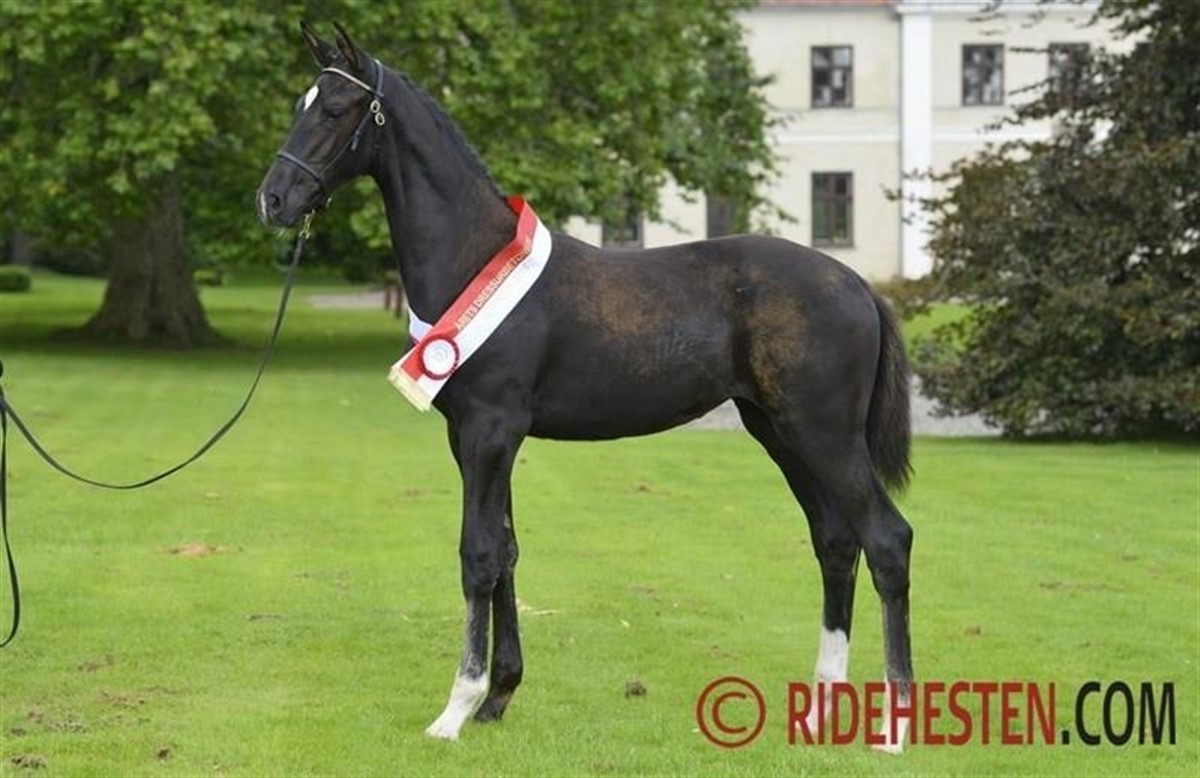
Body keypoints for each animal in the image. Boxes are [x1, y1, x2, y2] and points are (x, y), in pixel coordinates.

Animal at [257, 22, 915, 750]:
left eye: (335, 109)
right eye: (301, 103)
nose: (274, 199)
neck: (476, 257)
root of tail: (858, 285)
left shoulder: (490, 431)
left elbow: (478, 554)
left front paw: (456, 709)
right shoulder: (475, 438)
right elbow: (506, 550)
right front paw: (498, 697)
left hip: (824, 435)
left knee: (887, 540)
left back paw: (894, 724)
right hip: (779, 431)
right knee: (835, 541)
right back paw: (822, 706)